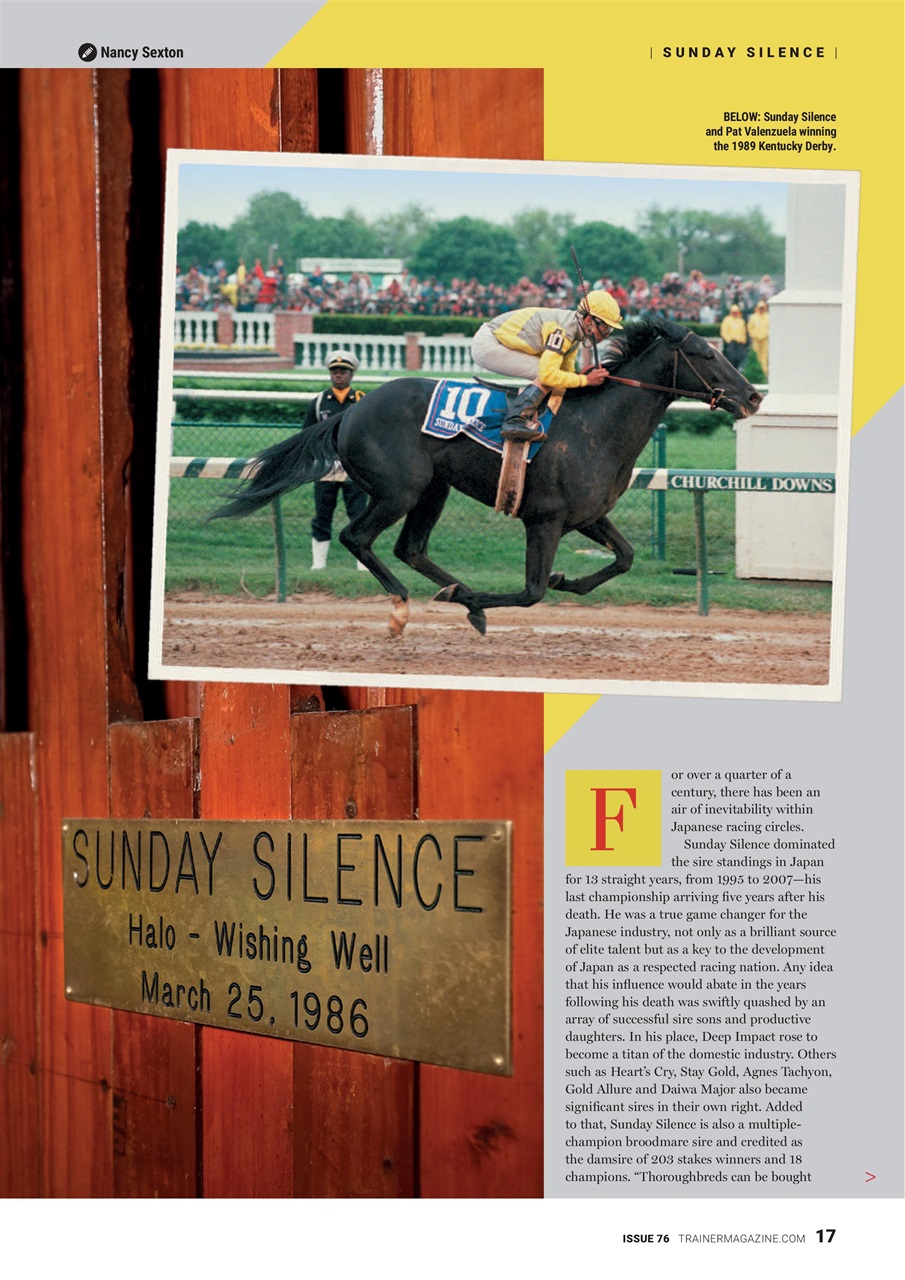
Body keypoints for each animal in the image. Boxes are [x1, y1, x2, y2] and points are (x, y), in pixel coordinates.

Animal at [212, 318, 762, 637]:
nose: (754, 396)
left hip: (433, 489)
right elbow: (532, 591)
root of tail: (351, 410)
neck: (597, 425)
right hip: (399, 489)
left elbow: (623, 558)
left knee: (410, 548)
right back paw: (405, 606)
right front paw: (482, 597)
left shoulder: (587, 516)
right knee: (357, 537)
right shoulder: (544, 520)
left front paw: (562, 579)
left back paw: (454, 593)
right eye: (708, 355)